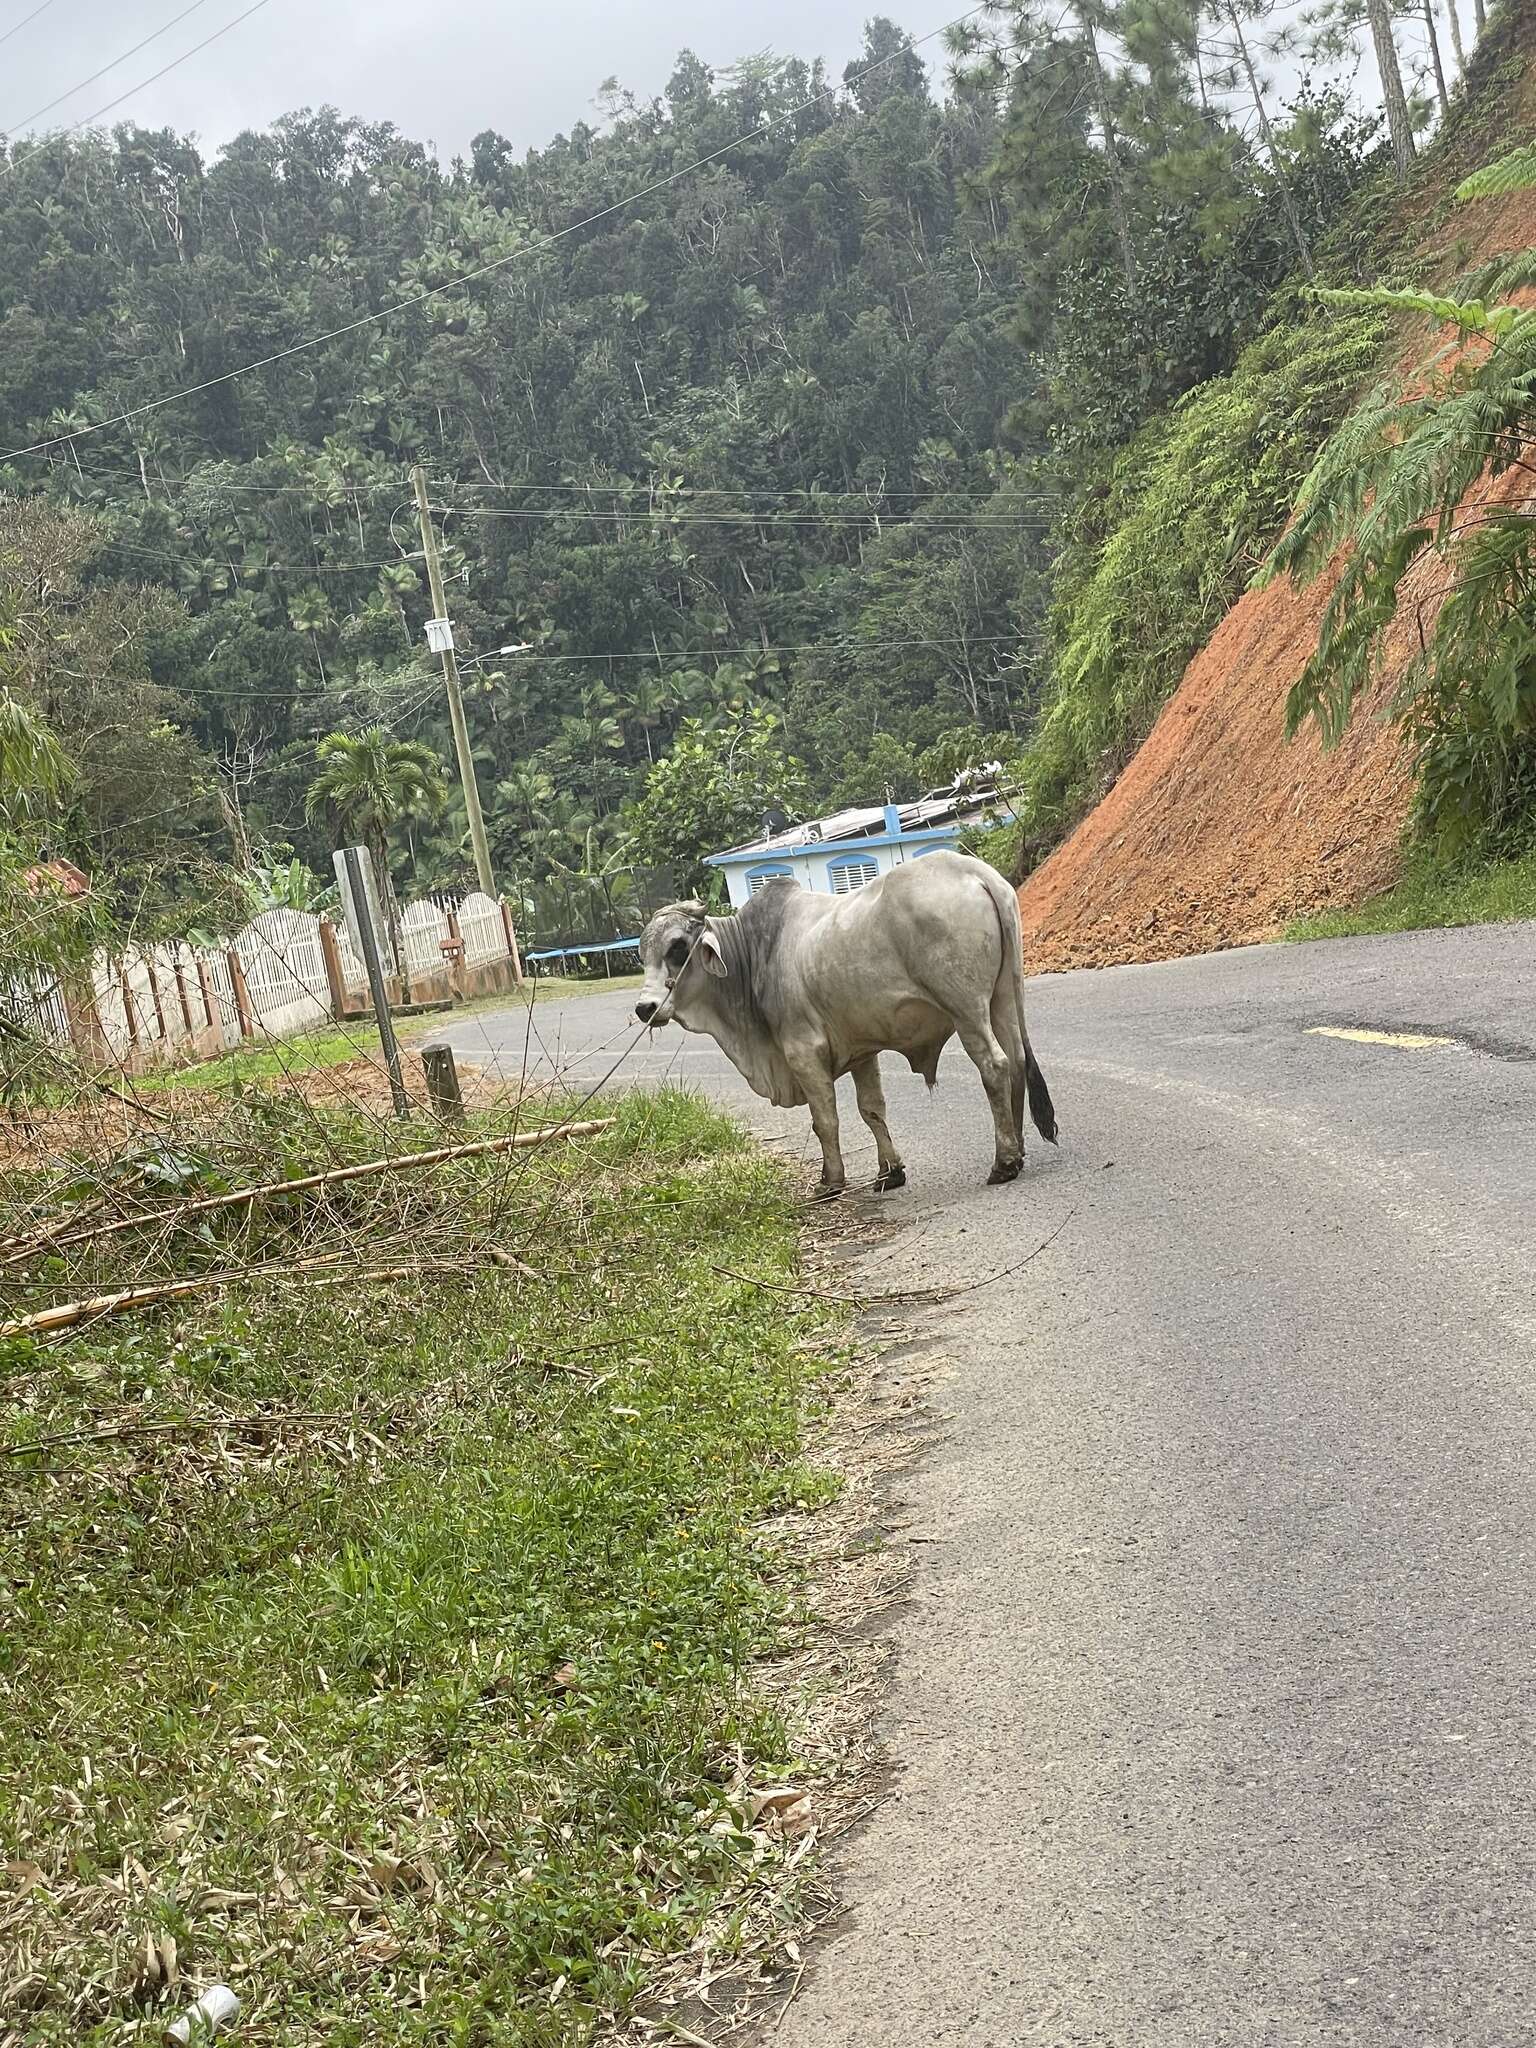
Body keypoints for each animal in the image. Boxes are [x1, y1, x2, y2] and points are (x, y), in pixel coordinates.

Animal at [638, 847, 1056, 1196]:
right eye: (642, 952)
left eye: (678, 948)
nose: (645, 1008)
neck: (753, 957)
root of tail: (976, 872)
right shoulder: (862, 1051)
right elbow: (871, 1109)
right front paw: (890, 1172)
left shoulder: (803, 1053)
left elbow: (825, 1120)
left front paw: (831, 1181)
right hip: (1003, 997)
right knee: (1016, 1062)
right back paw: (1017, 1148)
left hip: (967, 1009)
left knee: (995, 1065)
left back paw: (1004, 1161)